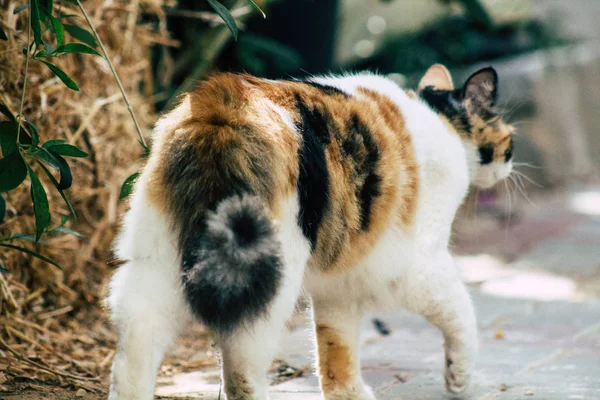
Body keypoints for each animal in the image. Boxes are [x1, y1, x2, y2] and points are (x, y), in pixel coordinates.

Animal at [108, 64, 516, 398]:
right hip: (267, 279)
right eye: (509, 140)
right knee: (241, 372)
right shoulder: (422, 267)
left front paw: (350, 394)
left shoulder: (341, 283)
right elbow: (461, 314)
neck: (441, 120)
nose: (511, 165)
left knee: (132, 358)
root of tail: (222, 109)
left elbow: (336, 350)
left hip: (155, 267)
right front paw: (459, 377)